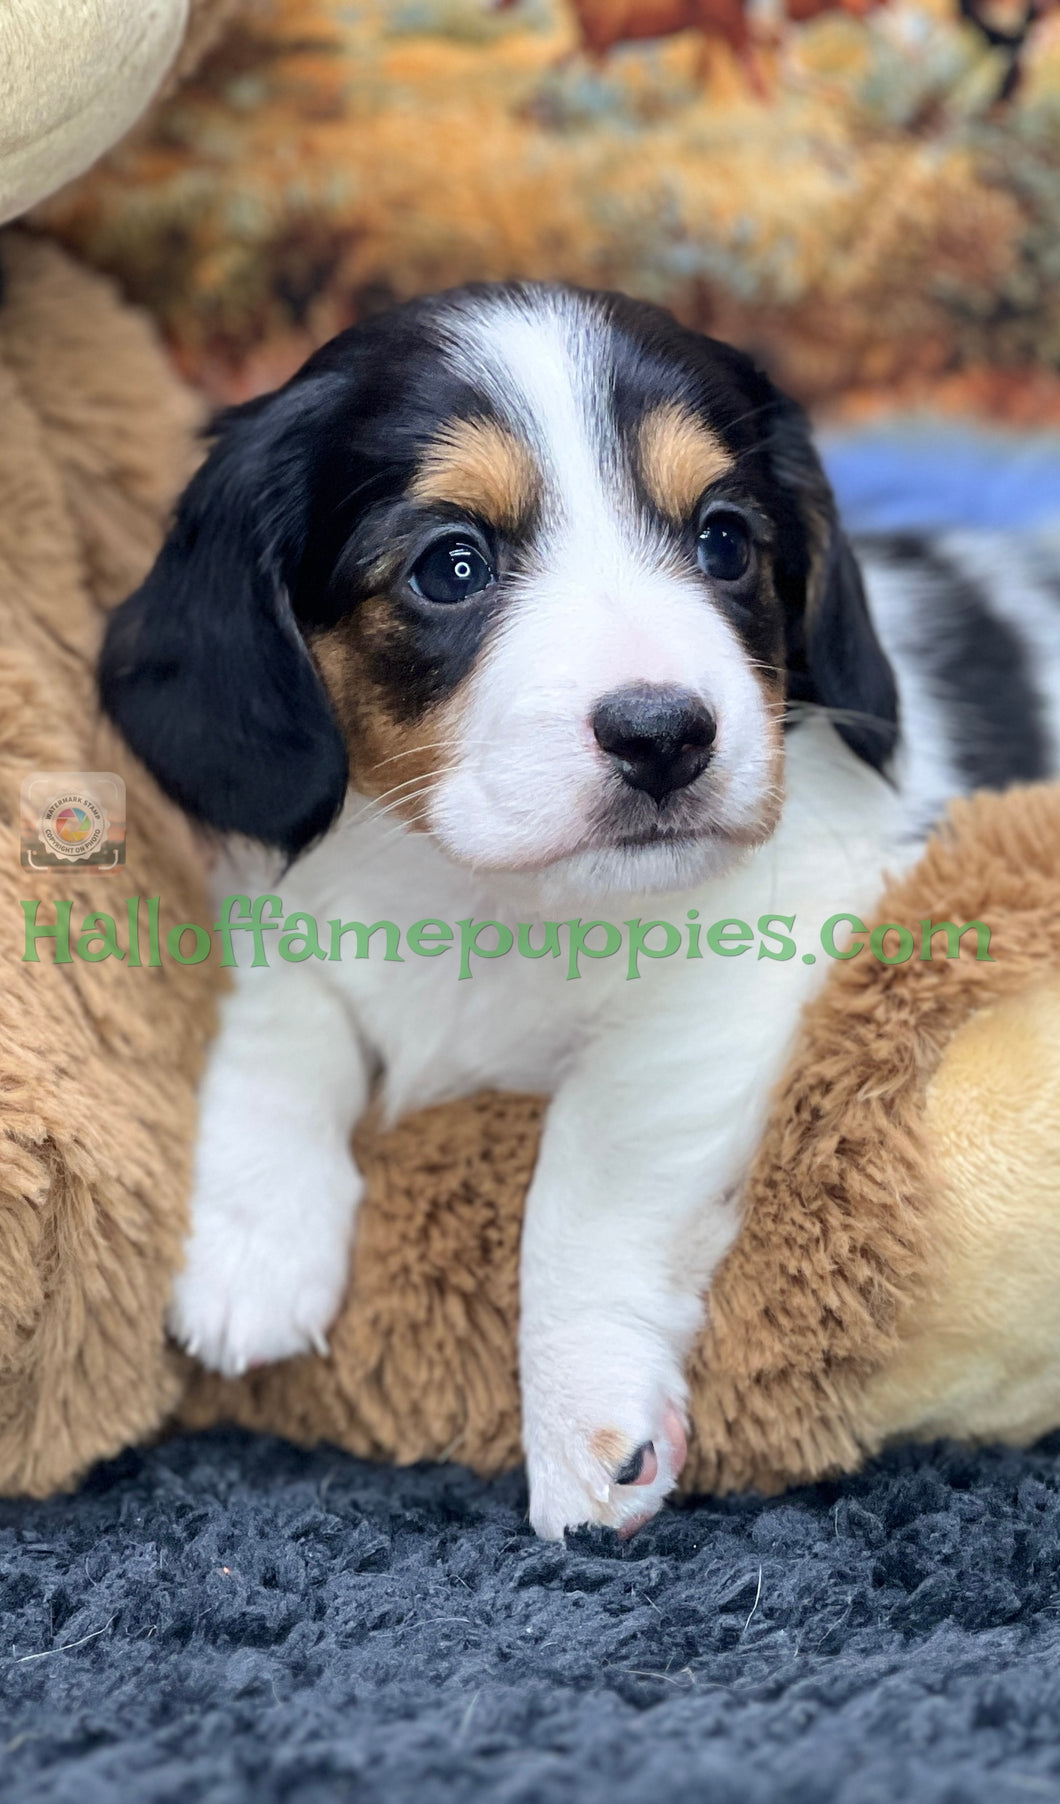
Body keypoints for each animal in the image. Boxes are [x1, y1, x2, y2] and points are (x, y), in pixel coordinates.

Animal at [99, 277, 1060, 1537]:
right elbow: (280, 1006)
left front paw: (580, 1410)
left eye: (723, 539)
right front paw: (252, 1233)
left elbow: (589, 1164)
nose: (666, 734)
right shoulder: (288, 886)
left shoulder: (751, 958)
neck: (493, 898)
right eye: (450, 566)